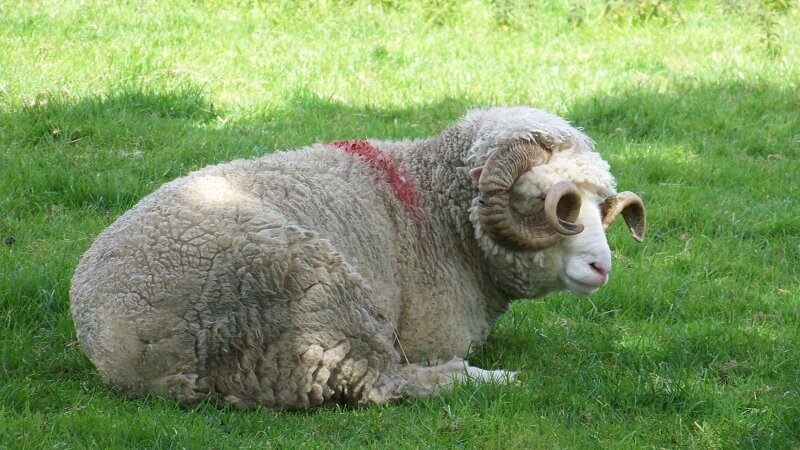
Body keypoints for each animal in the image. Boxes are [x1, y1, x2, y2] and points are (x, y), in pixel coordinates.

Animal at [70, 107, 646, 410]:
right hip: (316, 302)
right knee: (386, 382)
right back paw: (491, 379)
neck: (432, 205)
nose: (602, 268)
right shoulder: (428, 334)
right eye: (555, 205)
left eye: (601, 203)